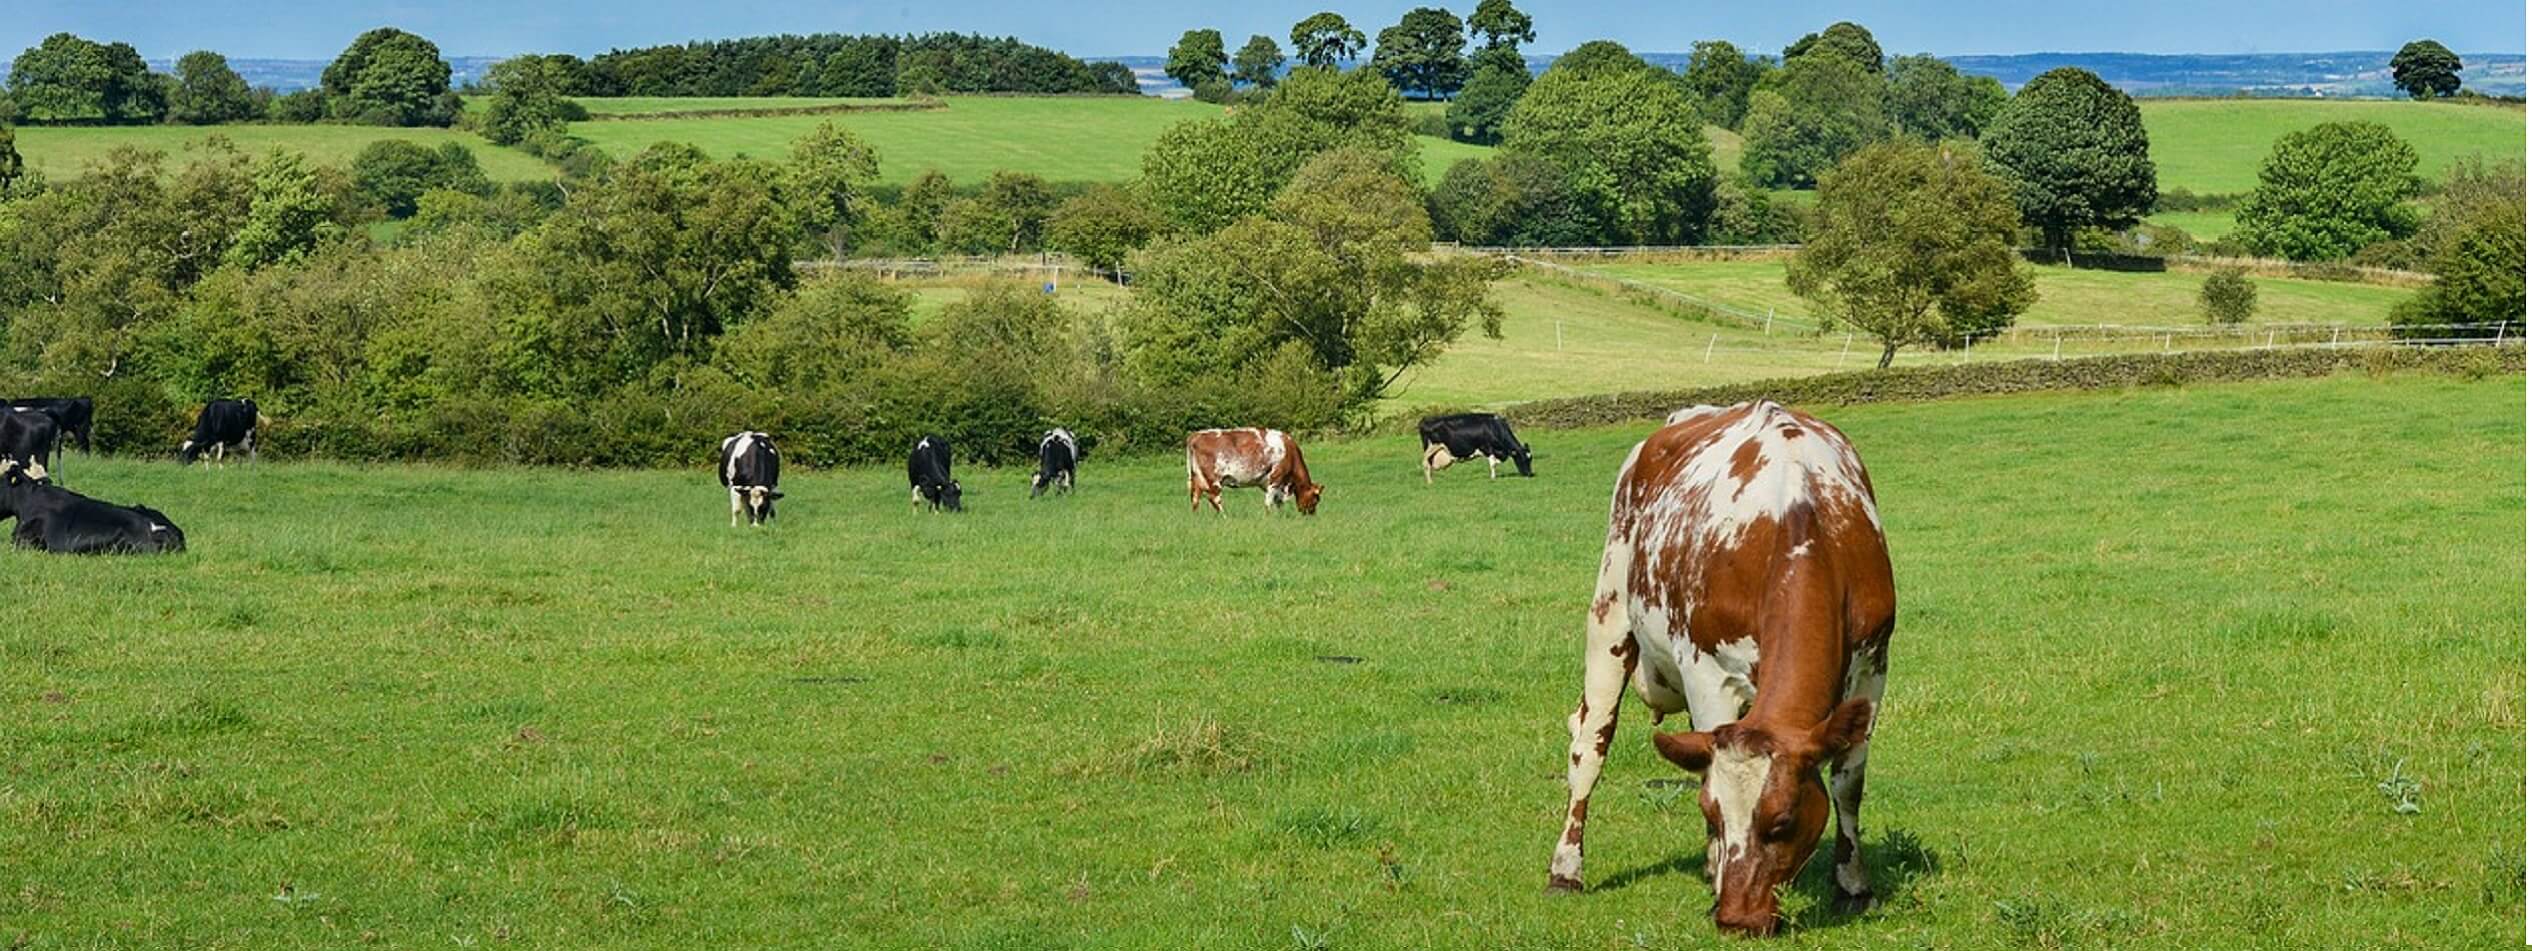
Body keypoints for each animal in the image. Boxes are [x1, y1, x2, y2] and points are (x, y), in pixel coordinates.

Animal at [1184, 429, 1326, 515]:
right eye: (1316, 499)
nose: (1311, 514)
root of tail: (1195, 435)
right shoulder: (1276, 478)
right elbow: (1269, 501)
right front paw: (1268, 516)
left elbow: (1277, 501)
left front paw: (1280, 515)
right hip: (1213, 479)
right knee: (1214, 498)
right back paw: (1225, 517)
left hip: (1196, 477)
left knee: (1195, 497)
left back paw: (1196, 516)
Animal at [1539, 399, 1904, 935]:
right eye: (1712, 815)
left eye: (1782, 822)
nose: (1737, 919)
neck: (1800, 517)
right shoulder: (1707, 673)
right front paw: (1716, 874)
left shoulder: (1873, 666)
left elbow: (1848, 783)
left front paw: (1854, 886)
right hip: (1609, 613)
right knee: (1589, 745)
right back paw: (1566, 869)